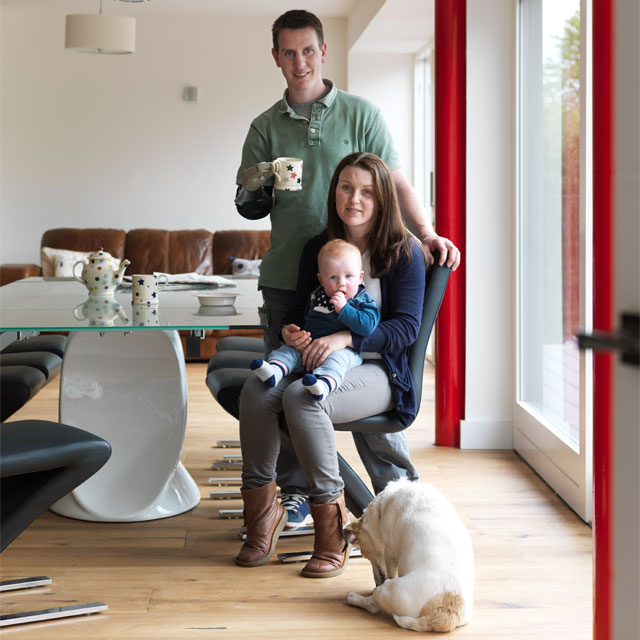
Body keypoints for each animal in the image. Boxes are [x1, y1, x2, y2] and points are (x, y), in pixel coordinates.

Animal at [342, 478, 472, 632]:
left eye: (364, 553)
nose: (377, 583)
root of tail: (449, 613)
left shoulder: (389, 553)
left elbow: (391, 572)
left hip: (389, 590)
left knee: (373, 605)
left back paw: (353, 598)